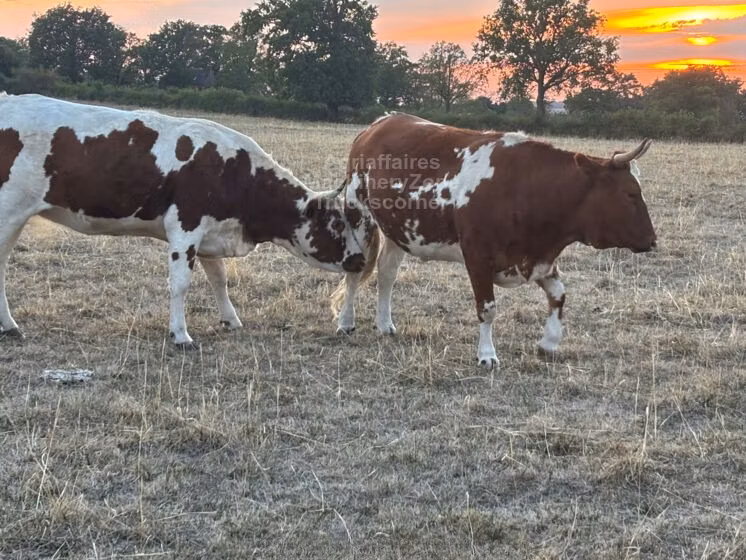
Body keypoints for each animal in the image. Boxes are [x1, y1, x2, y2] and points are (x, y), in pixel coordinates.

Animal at [0, 93, 375, 347]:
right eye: (337, 224)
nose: (360, 259)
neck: (236, 172)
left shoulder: (210, 235)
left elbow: (219, 280)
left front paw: (230, 319)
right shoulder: (185, 229)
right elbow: (180, 283)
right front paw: (180, 334)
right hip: (9, 213)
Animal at [332, 113, 657, 369]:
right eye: (630, 193)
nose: (653, 241)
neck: (527, 189)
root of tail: (379, 123)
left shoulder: (535, 258)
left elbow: (559, 296)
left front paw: (549, 342)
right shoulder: (477, 256)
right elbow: (487, 309)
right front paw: (486, 354)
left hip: (397, 231)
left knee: (386, 275)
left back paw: (385, 323)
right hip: (358, 216)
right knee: (354, 272)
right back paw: (346, 322)